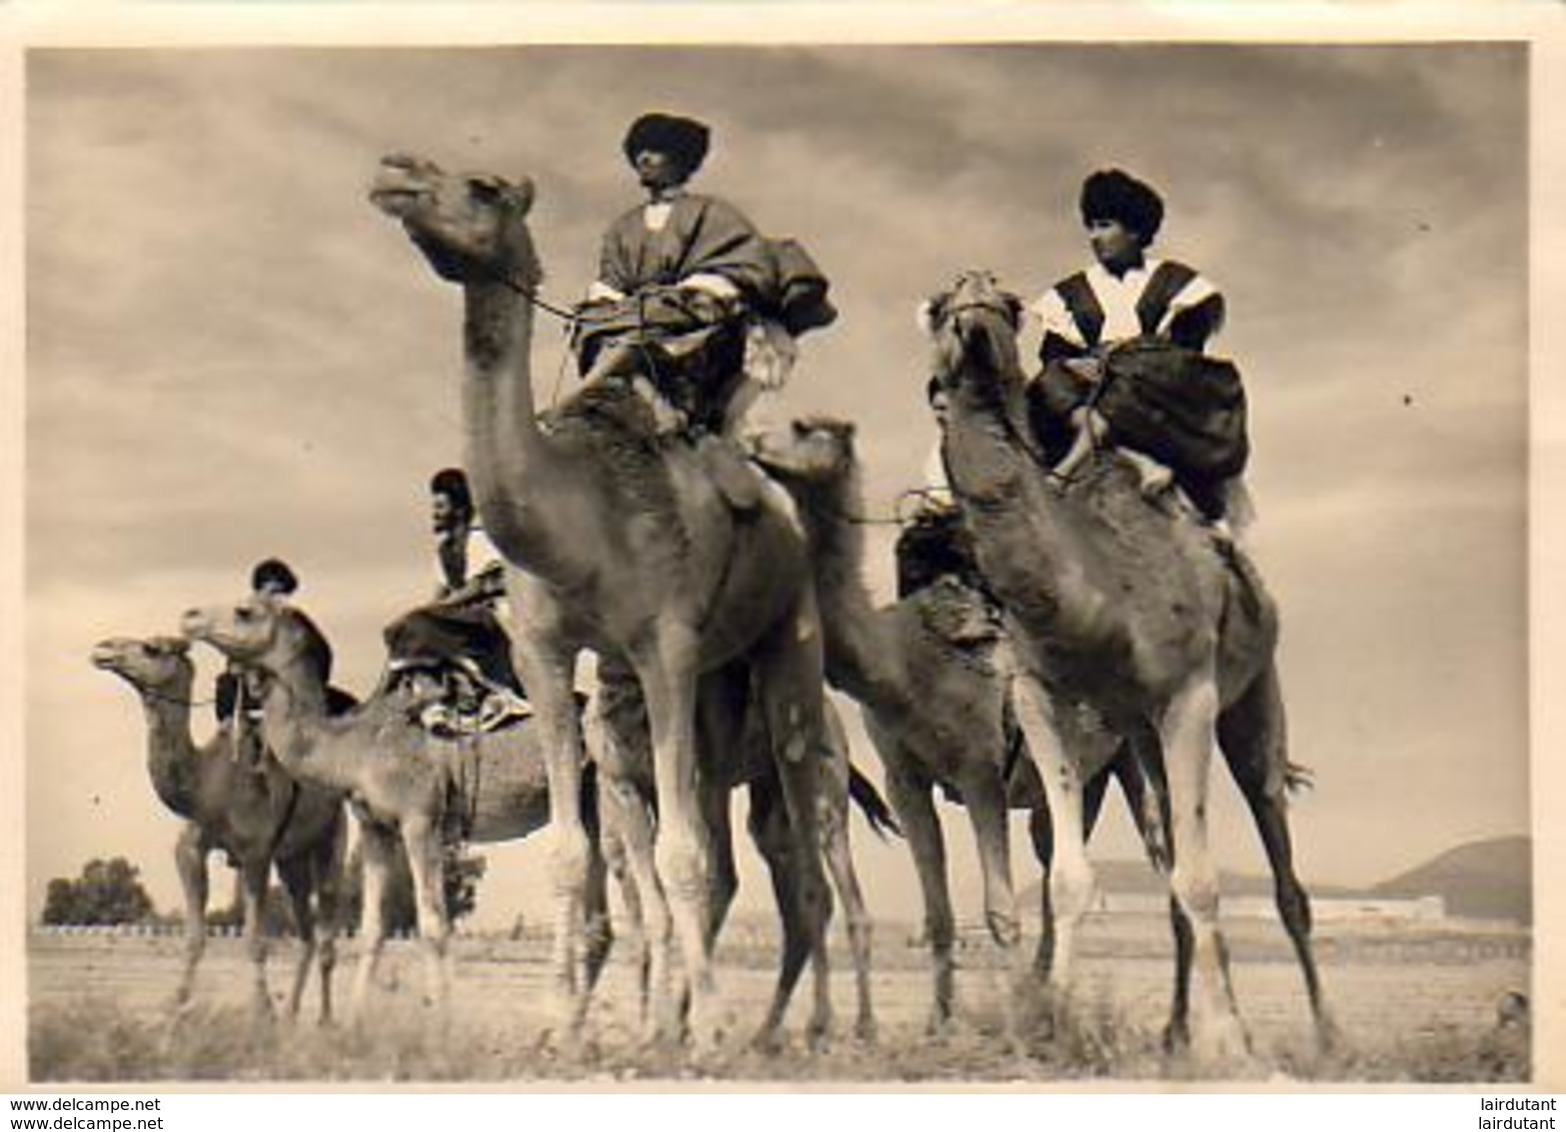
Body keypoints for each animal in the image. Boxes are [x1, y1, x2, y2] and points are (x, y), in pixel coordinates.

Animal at [91, 638, 352, 1027]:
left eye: (152, 648)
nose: (103, 649)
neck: (209, 785)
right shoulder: (190, 850)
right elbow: (194, 937)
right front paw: (175, 1006)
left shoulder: (255, 854)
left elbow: (254, 939)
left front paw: (261, 1011)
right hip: (291, 860)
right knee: (305, 930)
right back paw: (291, 1014)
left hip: (332, 836)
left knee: (325, 931)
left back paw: (324, 1020)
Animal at [179, 601, 617, 1027]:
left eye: (245, 611)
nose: (190, 617)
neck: (355, 749)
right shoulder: (375, 827)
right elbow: (372, 928)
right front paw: (354, 1023)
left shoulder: (419, 818)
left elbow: (433, 924)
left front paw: (440, 1025)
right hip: (591, 805)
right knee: (600, 923)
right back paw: (574, 1026)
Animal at [364, 155, 839, 1052]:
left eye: (482, 187)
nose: (394, 173)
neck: (581, 514)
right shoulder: (546, 655)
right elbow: (571, 854)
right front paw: (562, 1024)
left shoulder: (668, 644)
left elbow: (682, 856)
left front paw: (711, 1031)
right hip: (711, 689)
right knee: (725, 846)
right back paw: (677, 1023)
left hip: (787, 641)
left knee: (806, 848)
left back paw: (815, 1028)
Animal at [751, 416, 1327, 1052]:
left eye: (806, 429)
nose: (752, 441)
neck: (906, 663)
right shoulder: (905, 778)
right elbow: (940, 913)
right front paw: (939, 1025)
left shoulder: (980, 770)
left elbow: (1000, 911)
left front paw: (1008, 1024)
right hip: (1113, 764)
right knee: (1089, 860)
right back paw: (1160, 1027)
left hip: (1209, 722)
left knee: (1254, 831)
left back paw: (1314, 1031)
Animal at [920, 272, 1327, 1064]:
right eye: (940, 307)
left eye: (1008, 306)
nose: (975, 323)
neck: (1096, 593)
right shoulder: (1044, 701)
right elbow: (1071, 881)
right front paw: (1055, 1023)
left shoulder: (1190, 696)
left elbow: (1201, 881)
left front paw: (1228, 1042)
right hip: (1141, 740)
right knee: (1167, 860)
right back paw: (1174, 1032)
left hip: (1253, 697)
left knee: (1281, 866)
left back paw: (1325, 1036)